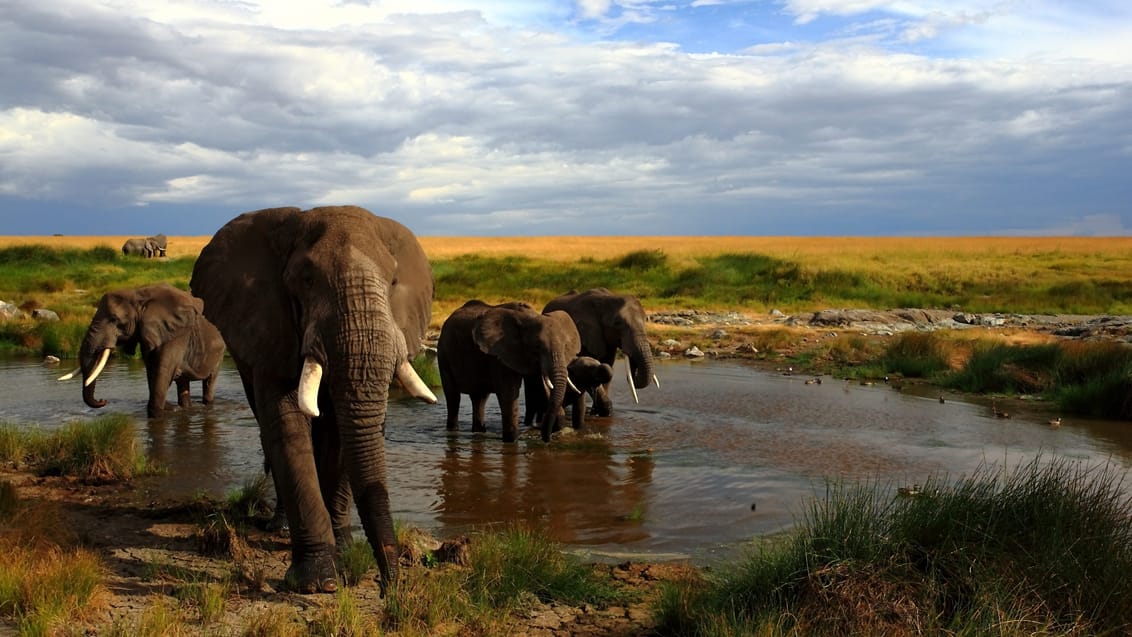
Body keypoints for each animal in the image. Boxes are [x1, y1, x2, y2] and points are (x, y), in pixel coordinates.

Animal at [63, 283, 229, 418]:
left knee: (209, 384)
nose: (103, 400)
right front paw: (171, 408)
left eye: (114, 319)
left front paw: (162, 412)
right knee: (183, 385)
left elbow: (162, 374)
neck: (138, 295)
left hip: (219, 353)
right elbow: (152, 371)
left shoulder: (176, 335)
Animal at [187, 207, 434, 597]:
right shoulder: (271, 325)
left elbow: (345, 435)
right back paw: (281, 529)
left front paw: (344, 551)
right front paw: (318, 583)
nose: (388, 589)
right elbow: (288, 425)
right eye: (306, 280)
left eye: (393, 281)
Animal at [436, 300, 584, 443]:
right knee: (453, 397)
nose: (547, 440)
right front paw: (511, 441)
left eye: (565, 347)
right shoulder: (499, 355)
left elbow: (543, 388)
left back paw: (479, 432)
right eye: (537, 347)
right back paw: (453, 432)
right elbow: (509, 393)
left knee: (479, 398)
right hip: (443, 354)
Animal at [543, 287, 661, 416]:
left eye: (645, 320)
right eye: (617, 323)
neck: (607, 300)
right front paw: (601, 411)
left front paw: (598, 412)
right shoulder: (583, 334)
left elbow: (608, 368)